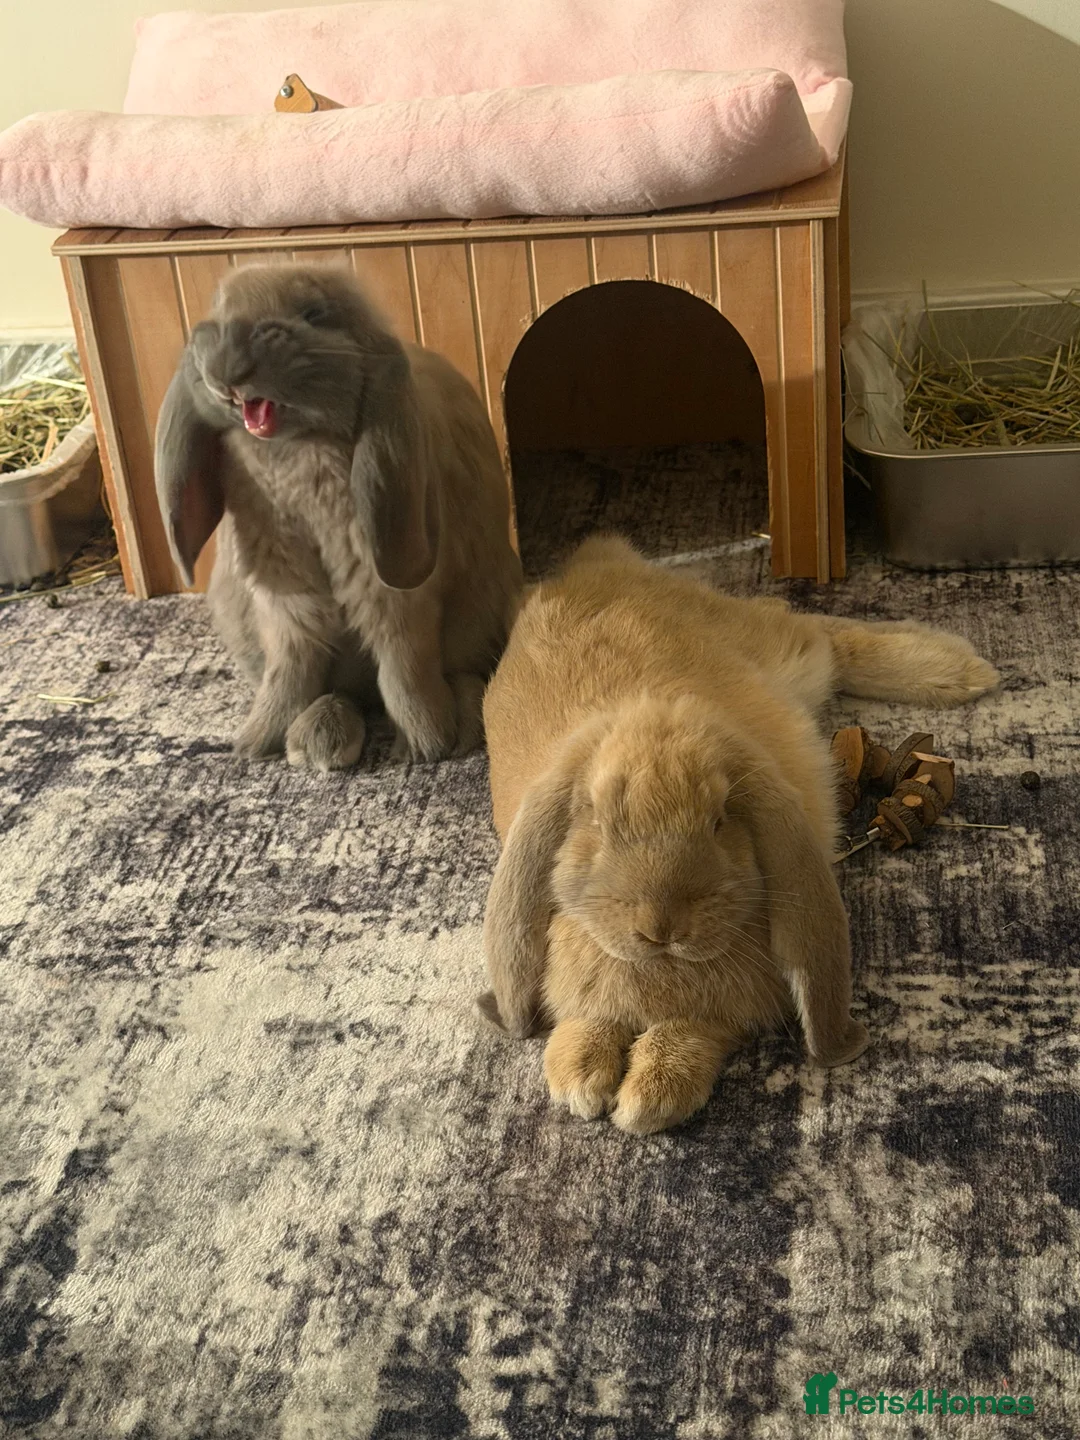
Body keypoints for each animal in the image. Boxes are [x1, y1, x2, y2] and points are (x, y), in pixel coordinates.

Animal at [154, 262, 522, 769]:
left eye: (313, 313)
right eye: (220, 308)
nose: (229, 369)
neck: (297, 446)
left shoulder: (394, 596)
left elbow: (404, 665)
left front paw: (427, 744)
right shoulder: (286, 603)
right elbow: (291, 671)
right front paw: (256, 743)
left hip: (478, 607)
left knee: (459, 670)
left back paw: (463, 725)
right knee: (339, 691)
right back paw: (317, 740)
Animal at [479, 535, 999, 1135]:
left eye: (720, 819)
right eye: (595, 819)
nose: (661, 926)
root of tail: (596, 559)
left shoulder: (726, 1010)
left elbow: (690, 1032)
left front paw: (652, 1096)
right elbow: (585, 1023)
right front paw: (579, 1081)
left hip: (775, 651)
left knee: (818, 631)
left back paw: (962, 670)